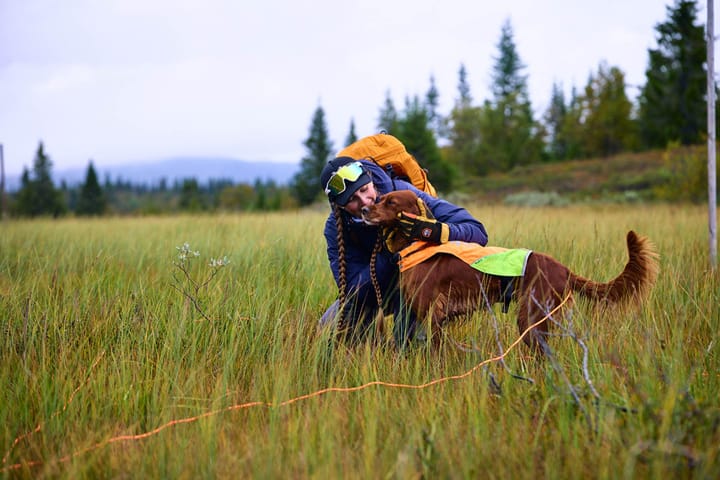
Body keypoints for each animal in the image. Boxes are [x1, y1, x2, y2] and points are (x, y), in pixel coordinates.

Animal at [362, 189, 660, 350]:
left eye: (390, 202)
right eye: (379, 198)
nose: (364, 210)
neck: (418, 244)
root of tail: (562, 268)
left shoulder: (433, 315)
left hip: (531, 317)